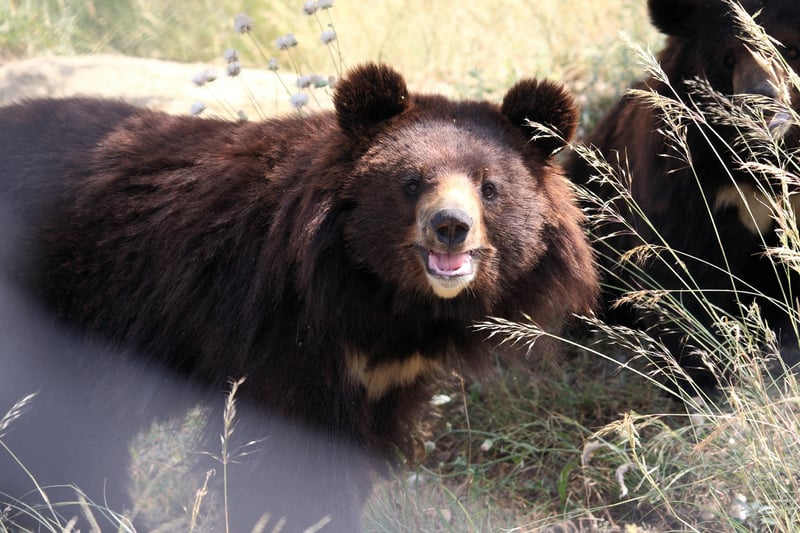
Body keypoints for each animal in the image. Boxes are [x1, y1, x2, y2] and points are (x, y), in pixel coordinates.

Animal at [0, 62, 596, 528]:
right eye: (411, 183)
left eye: (489, 188)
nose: (450, 227)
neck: (381, 294)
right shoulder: (282, 331)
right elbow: (287, 459)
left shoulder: (388, 374)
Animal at [564, 0, 800, 390]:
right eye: (726, 57)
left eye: (790, 48)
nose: (762, 104)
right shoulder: (681, 179)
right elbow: (680, 264)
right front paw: (704, 372)